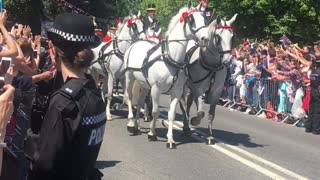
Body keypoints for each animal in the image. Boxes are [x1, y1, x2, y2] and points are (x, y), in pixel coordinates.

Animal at [122, 1, 210, 149]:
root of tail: (136, 43)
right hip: (130, 77)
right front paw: (152, 134)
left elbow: (171, 115)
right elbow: (155, 112)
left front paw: (170, 140)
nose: (206, 38)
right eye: (191, 19)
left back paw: (136, 126)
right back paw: (130, 124)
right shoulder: (156, 89)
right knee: (129, 97)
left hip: (144, 85)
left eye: (204, 18)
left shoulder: (176, 91)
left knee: (139, 102)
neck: (171, 58)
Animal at [181, 14, 236, 144]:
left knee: (188, 105)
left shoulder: (215, 93)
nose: (228, 60)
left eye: (232, 37)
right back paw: (186, 126)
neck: (212, 67)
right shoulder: (198, 90)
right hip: (185, 87)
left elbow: (211, 114)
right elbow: (200, 112)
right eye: (218, 37)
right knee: (184, 106)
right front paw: (194, 121)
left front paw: (210, 136)